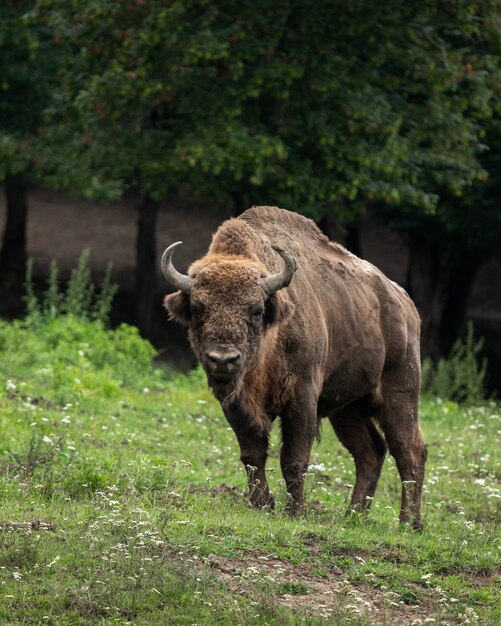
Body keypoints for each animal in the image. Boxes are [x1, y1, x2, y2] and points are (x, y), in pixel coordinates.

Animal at [163, 205, 426, 528]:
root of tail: (404, 303)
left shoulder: (302, 399)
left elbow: (293, 458)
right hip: (347, 407)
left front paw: (296, 511)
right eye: (198, 308)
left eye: (256, 310)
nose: (223, 359)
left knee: (409, 450)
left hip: (400, 394)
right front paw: (261, 504)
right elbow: (252, 456)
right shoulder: (236, 406)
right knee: (371, 452)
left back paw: (409, 523)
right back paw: (353, 516)